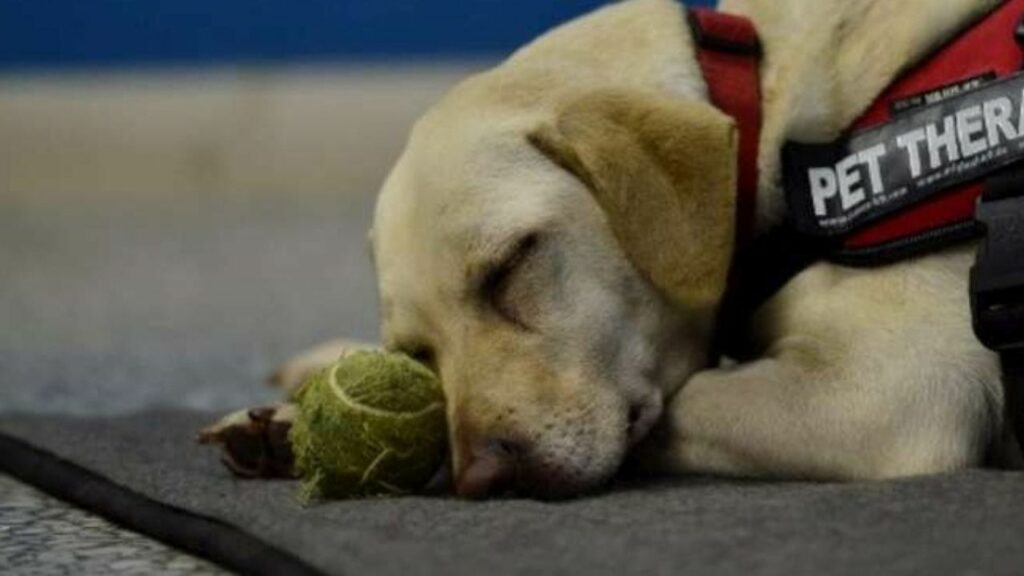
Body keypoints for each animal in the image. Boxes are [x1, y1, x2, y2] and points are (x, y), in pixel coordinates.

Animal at [203, 0, 1019, 496]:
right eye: (416, 352)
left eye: (511, 264)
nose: (481, 481)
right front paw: (294, 414)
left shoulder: (887, 391)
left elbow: (681, 408)